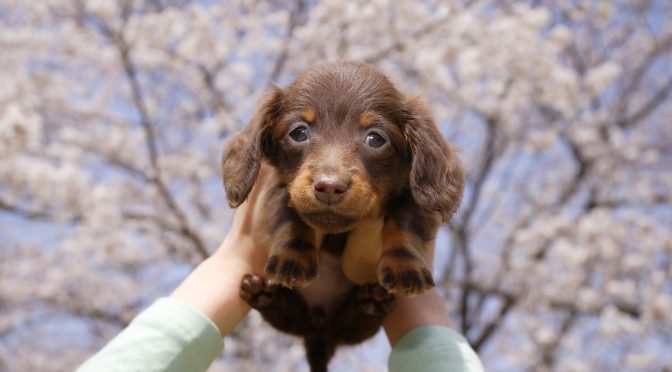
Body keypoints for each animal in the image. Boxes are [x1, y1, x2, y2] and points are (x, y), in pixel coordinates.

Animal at [220, 61, 462, 372]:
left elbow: (404, 224)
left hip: (352, 327)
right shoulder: (277, 189)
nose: (329, 186)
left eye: (376, 138)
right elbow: (291, 218)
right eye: (299, 133)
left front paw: (404, 266)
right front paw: (293, 257)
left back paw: (370, 304)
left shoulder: (413, 196)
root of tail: (320, 334)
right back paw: (265, 296)